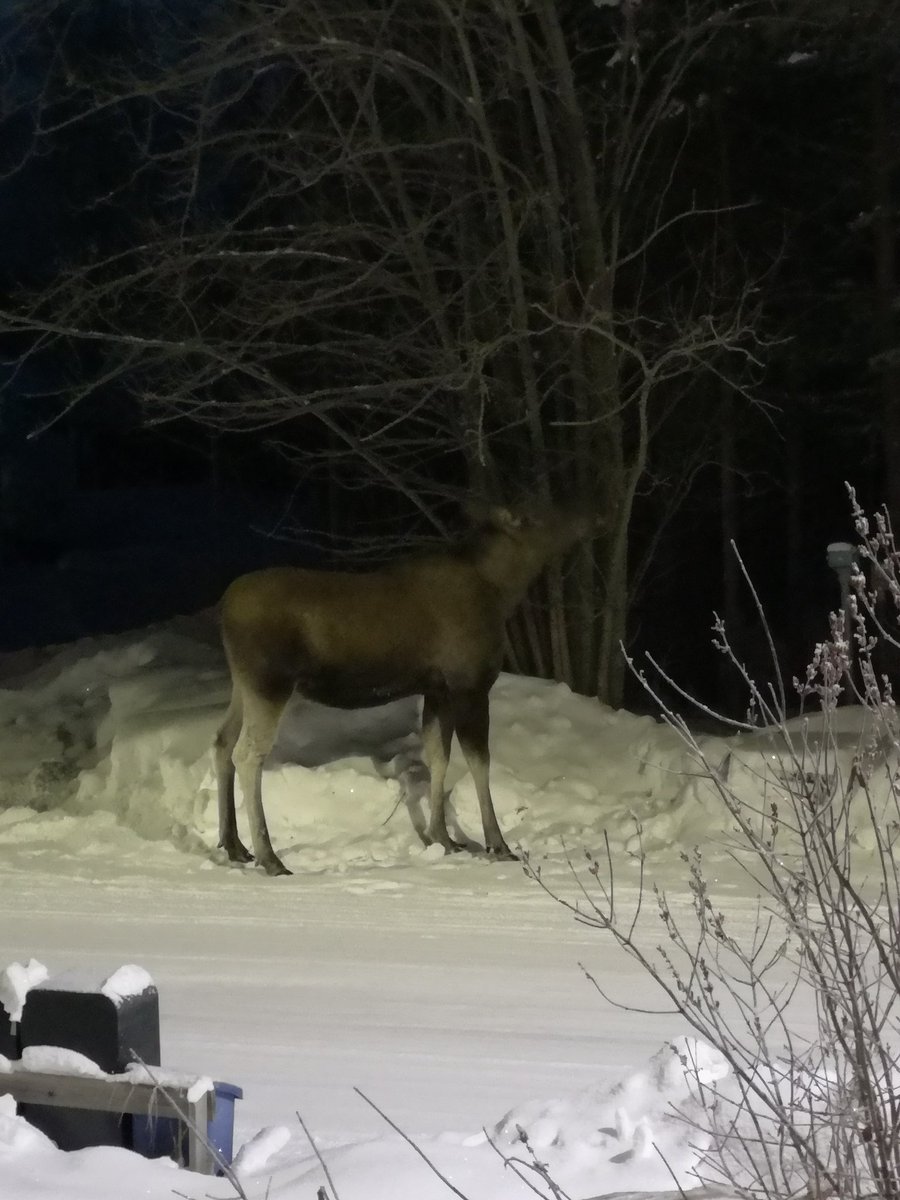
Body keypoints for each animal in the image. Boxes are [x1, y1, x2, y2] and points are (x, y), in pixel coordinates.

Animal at [213, 504, 594, 875]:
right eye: (536, 515)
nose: (585, 517)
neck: (502, 592)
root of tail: (224, 609)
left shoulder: (437, 690)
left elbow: (438, 756)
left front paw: (444, 838)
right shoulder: (469, 685)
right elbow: (479, 761)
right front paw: (497, 845)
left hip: (243, 684)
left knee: (222, 742)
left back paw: (234, 845)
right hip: (269, 681)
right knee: (247, 753)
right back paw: (270, 857)